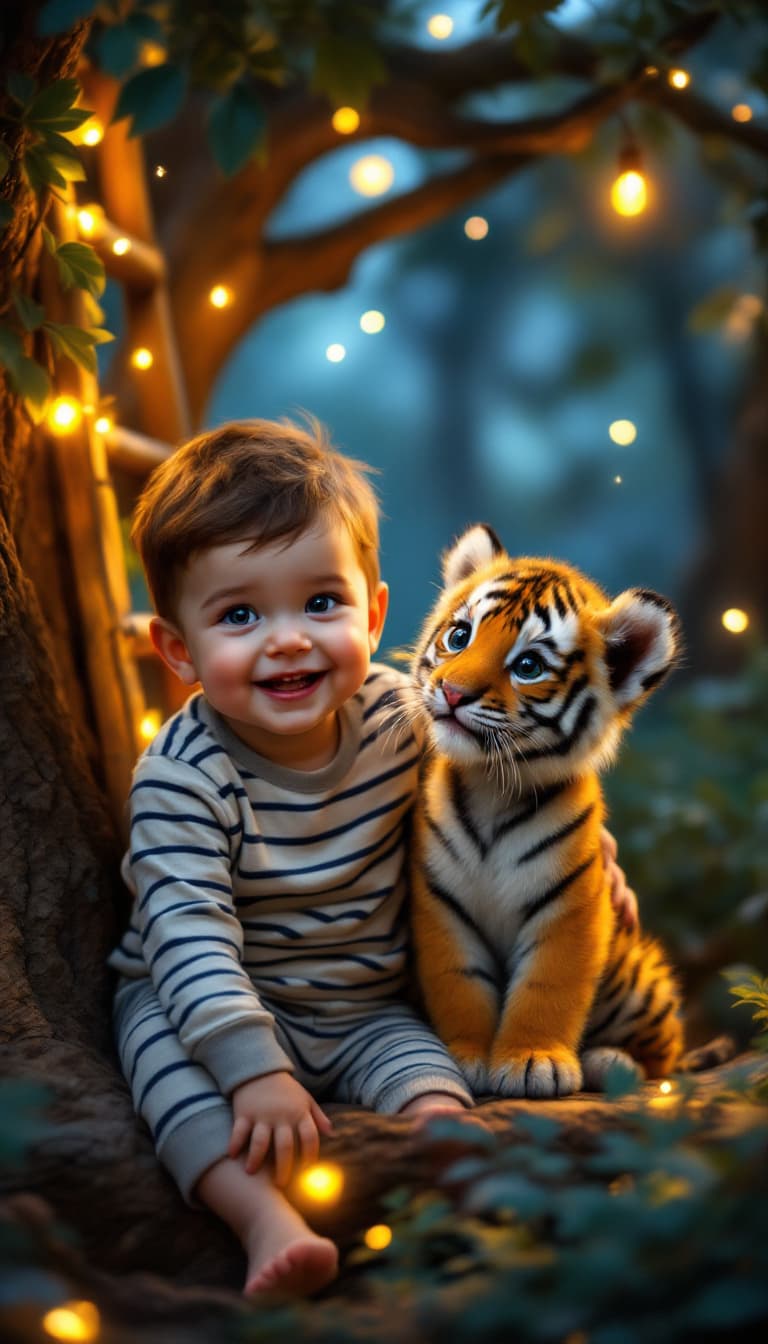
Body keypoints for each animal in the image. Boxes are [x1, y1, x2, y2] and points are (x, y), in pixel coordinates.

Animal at [407, 523, 685, 1099]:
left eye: (528, 667)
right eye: (459, 636)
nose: (452, 691)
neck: (492, 786)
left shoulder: (571, 907)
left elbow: (548, 986)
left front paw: (534, 1062)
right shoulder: (441, 904)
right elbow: (459, 984)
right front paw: (466, 1056)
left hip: (639, 985)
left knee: (665, 1055)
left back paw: (612, 1063)